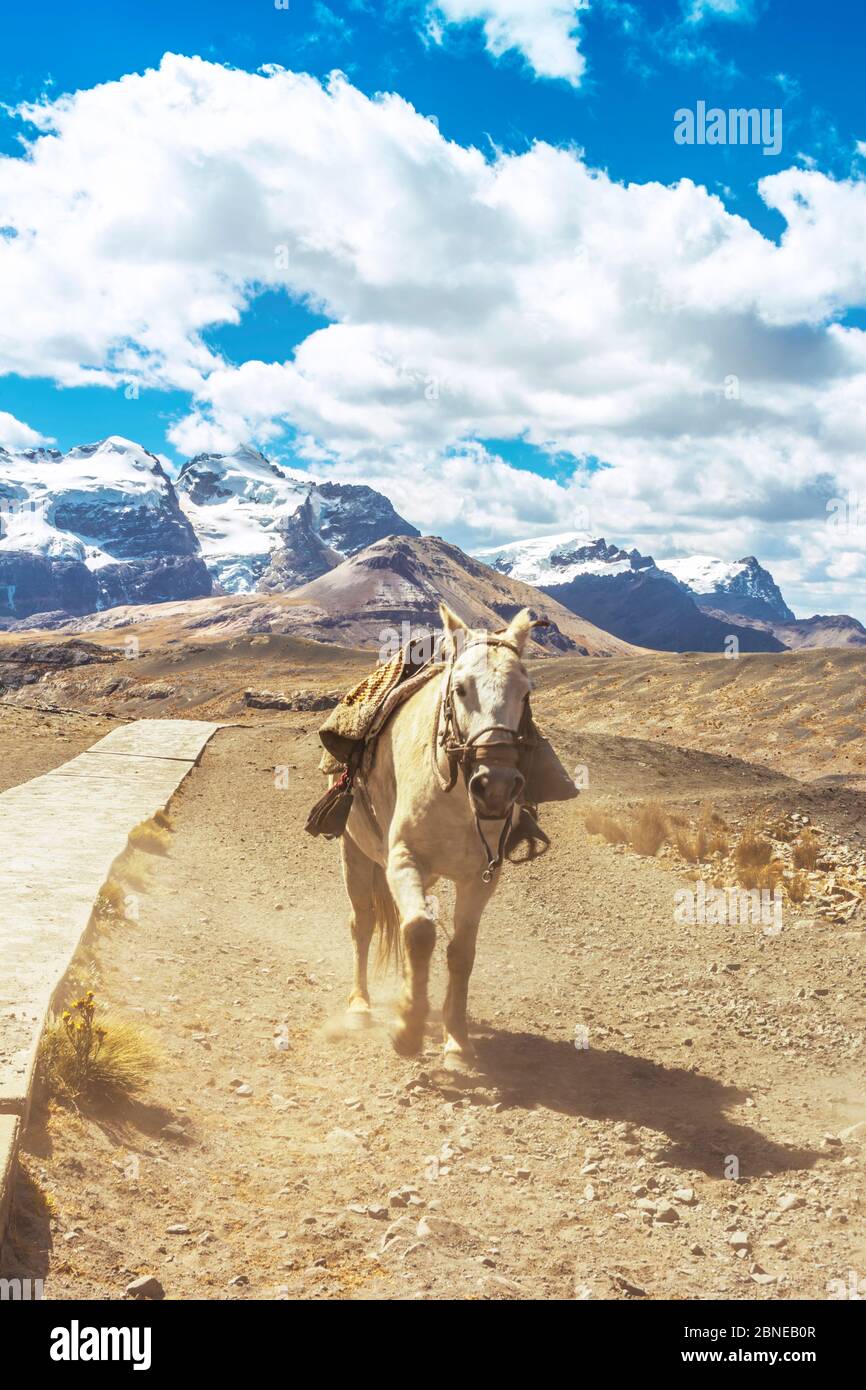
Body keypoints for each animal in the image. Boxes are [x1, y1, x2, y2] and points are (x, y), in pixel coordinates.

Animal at [340, 603, 539, 1067]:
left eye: (525, 693)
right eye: (461, 689)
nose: (496, 785)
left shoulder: (482, 877)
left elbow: (460, 952)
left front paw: (457, 1040)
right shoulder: (402, 859)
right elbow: (419, 932)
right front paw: (408, 1029)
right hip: (355, 853)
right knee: (364, 923)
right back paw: (360, 1007)